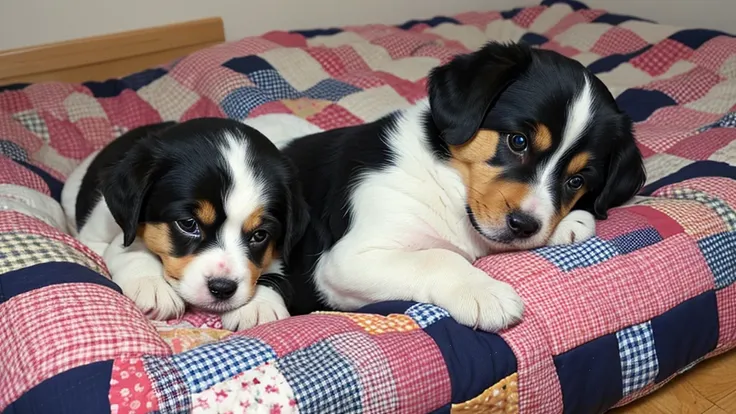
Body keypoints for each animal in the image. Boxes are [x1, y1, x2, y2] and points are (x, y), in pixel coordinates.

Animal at [59, 118, 308, 332]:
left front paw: (260, 304)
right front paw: (150, 284)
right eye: (188, 224)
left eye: (259, 235)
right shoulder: (94, 238)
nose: (222, 288)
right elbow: (130, 245)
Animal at [282, 42, 644, 332]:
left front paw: (569, 222)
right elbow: (437, 256)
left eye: (576, 180)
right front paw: (483, 291)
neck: (445, 178)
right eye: (518, 141)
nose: (525, 225)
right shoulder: (347, 260)